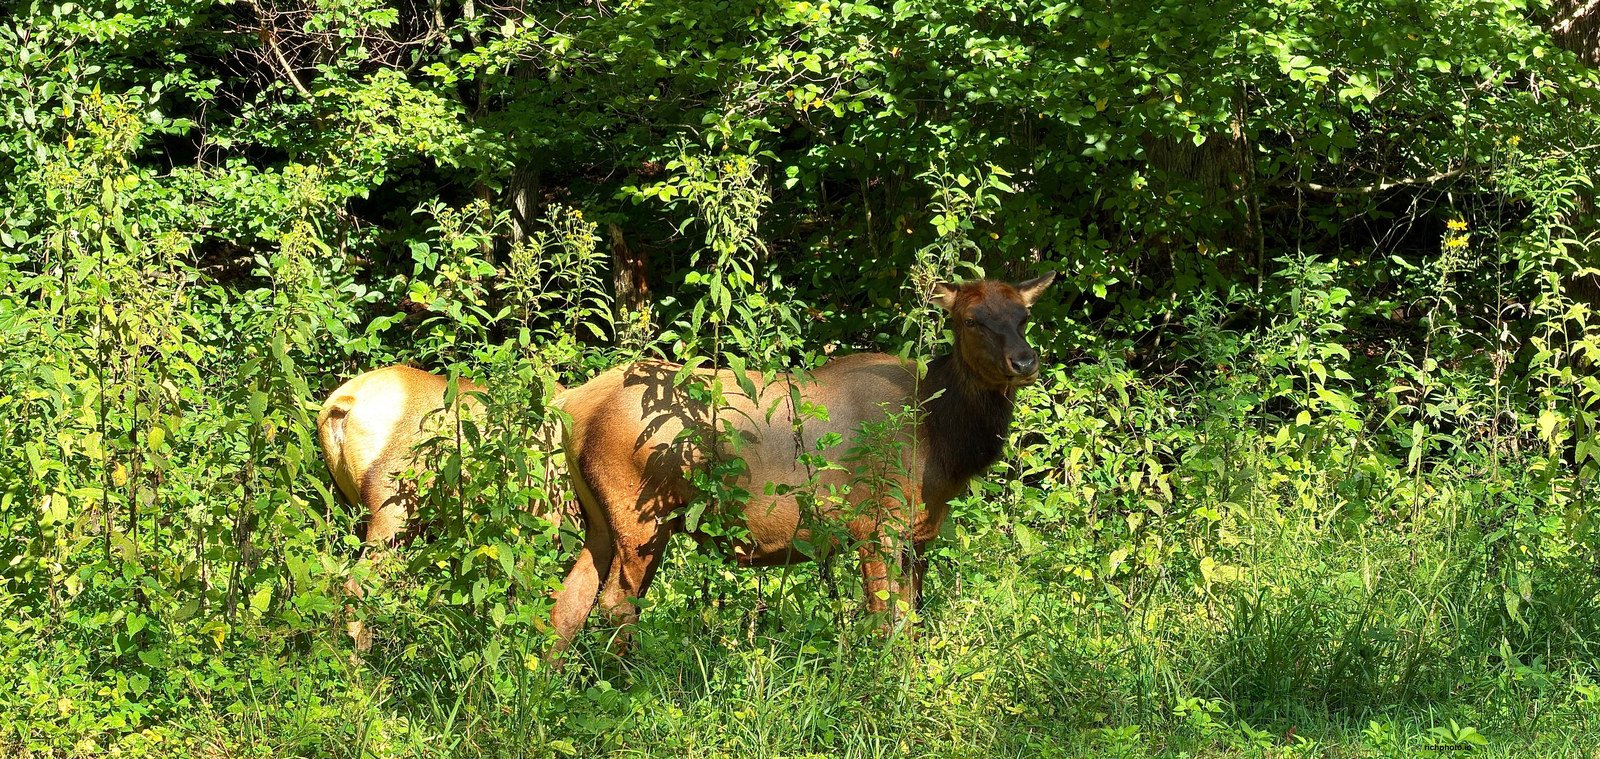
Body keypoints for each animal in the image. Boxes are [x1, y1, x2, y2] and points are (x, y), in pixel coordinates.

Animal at [547, 273, 1055, 654]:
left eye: (1024, 317)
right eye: (971, 320)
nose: (1025, 361)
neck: (942, 446)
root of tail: (572, 404)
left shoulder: (920, 532)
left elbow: (910, 620)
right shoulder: (876, 520)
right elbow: (885, 619)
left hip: (600, 517)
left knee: (567, 601)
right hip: (640, 512)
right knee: (616, 603)